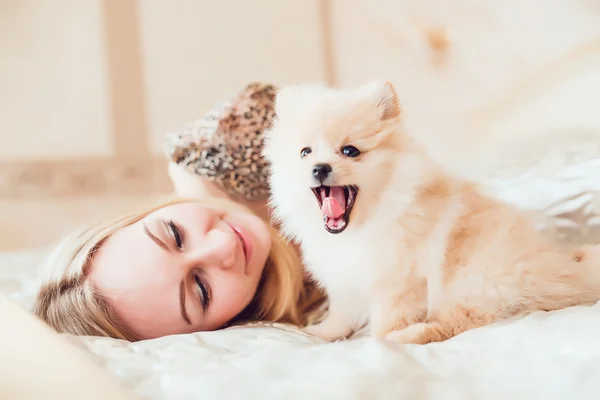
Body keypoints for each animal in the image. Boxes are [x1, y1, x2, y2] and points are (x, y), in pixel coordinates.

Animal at [262, 80, 600, 344]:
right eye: (305, 152)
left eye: (350, 151)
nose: (320, 168)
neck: (362, 227)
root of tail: (568, 273)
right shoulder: (346, 279)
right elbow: (341, 313)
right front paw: (321, 333)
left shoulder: (400, 281)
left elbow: (387, 320)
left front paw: (379, 341)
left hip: (474, 280)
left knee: (462, 322)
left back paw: (410, 335)